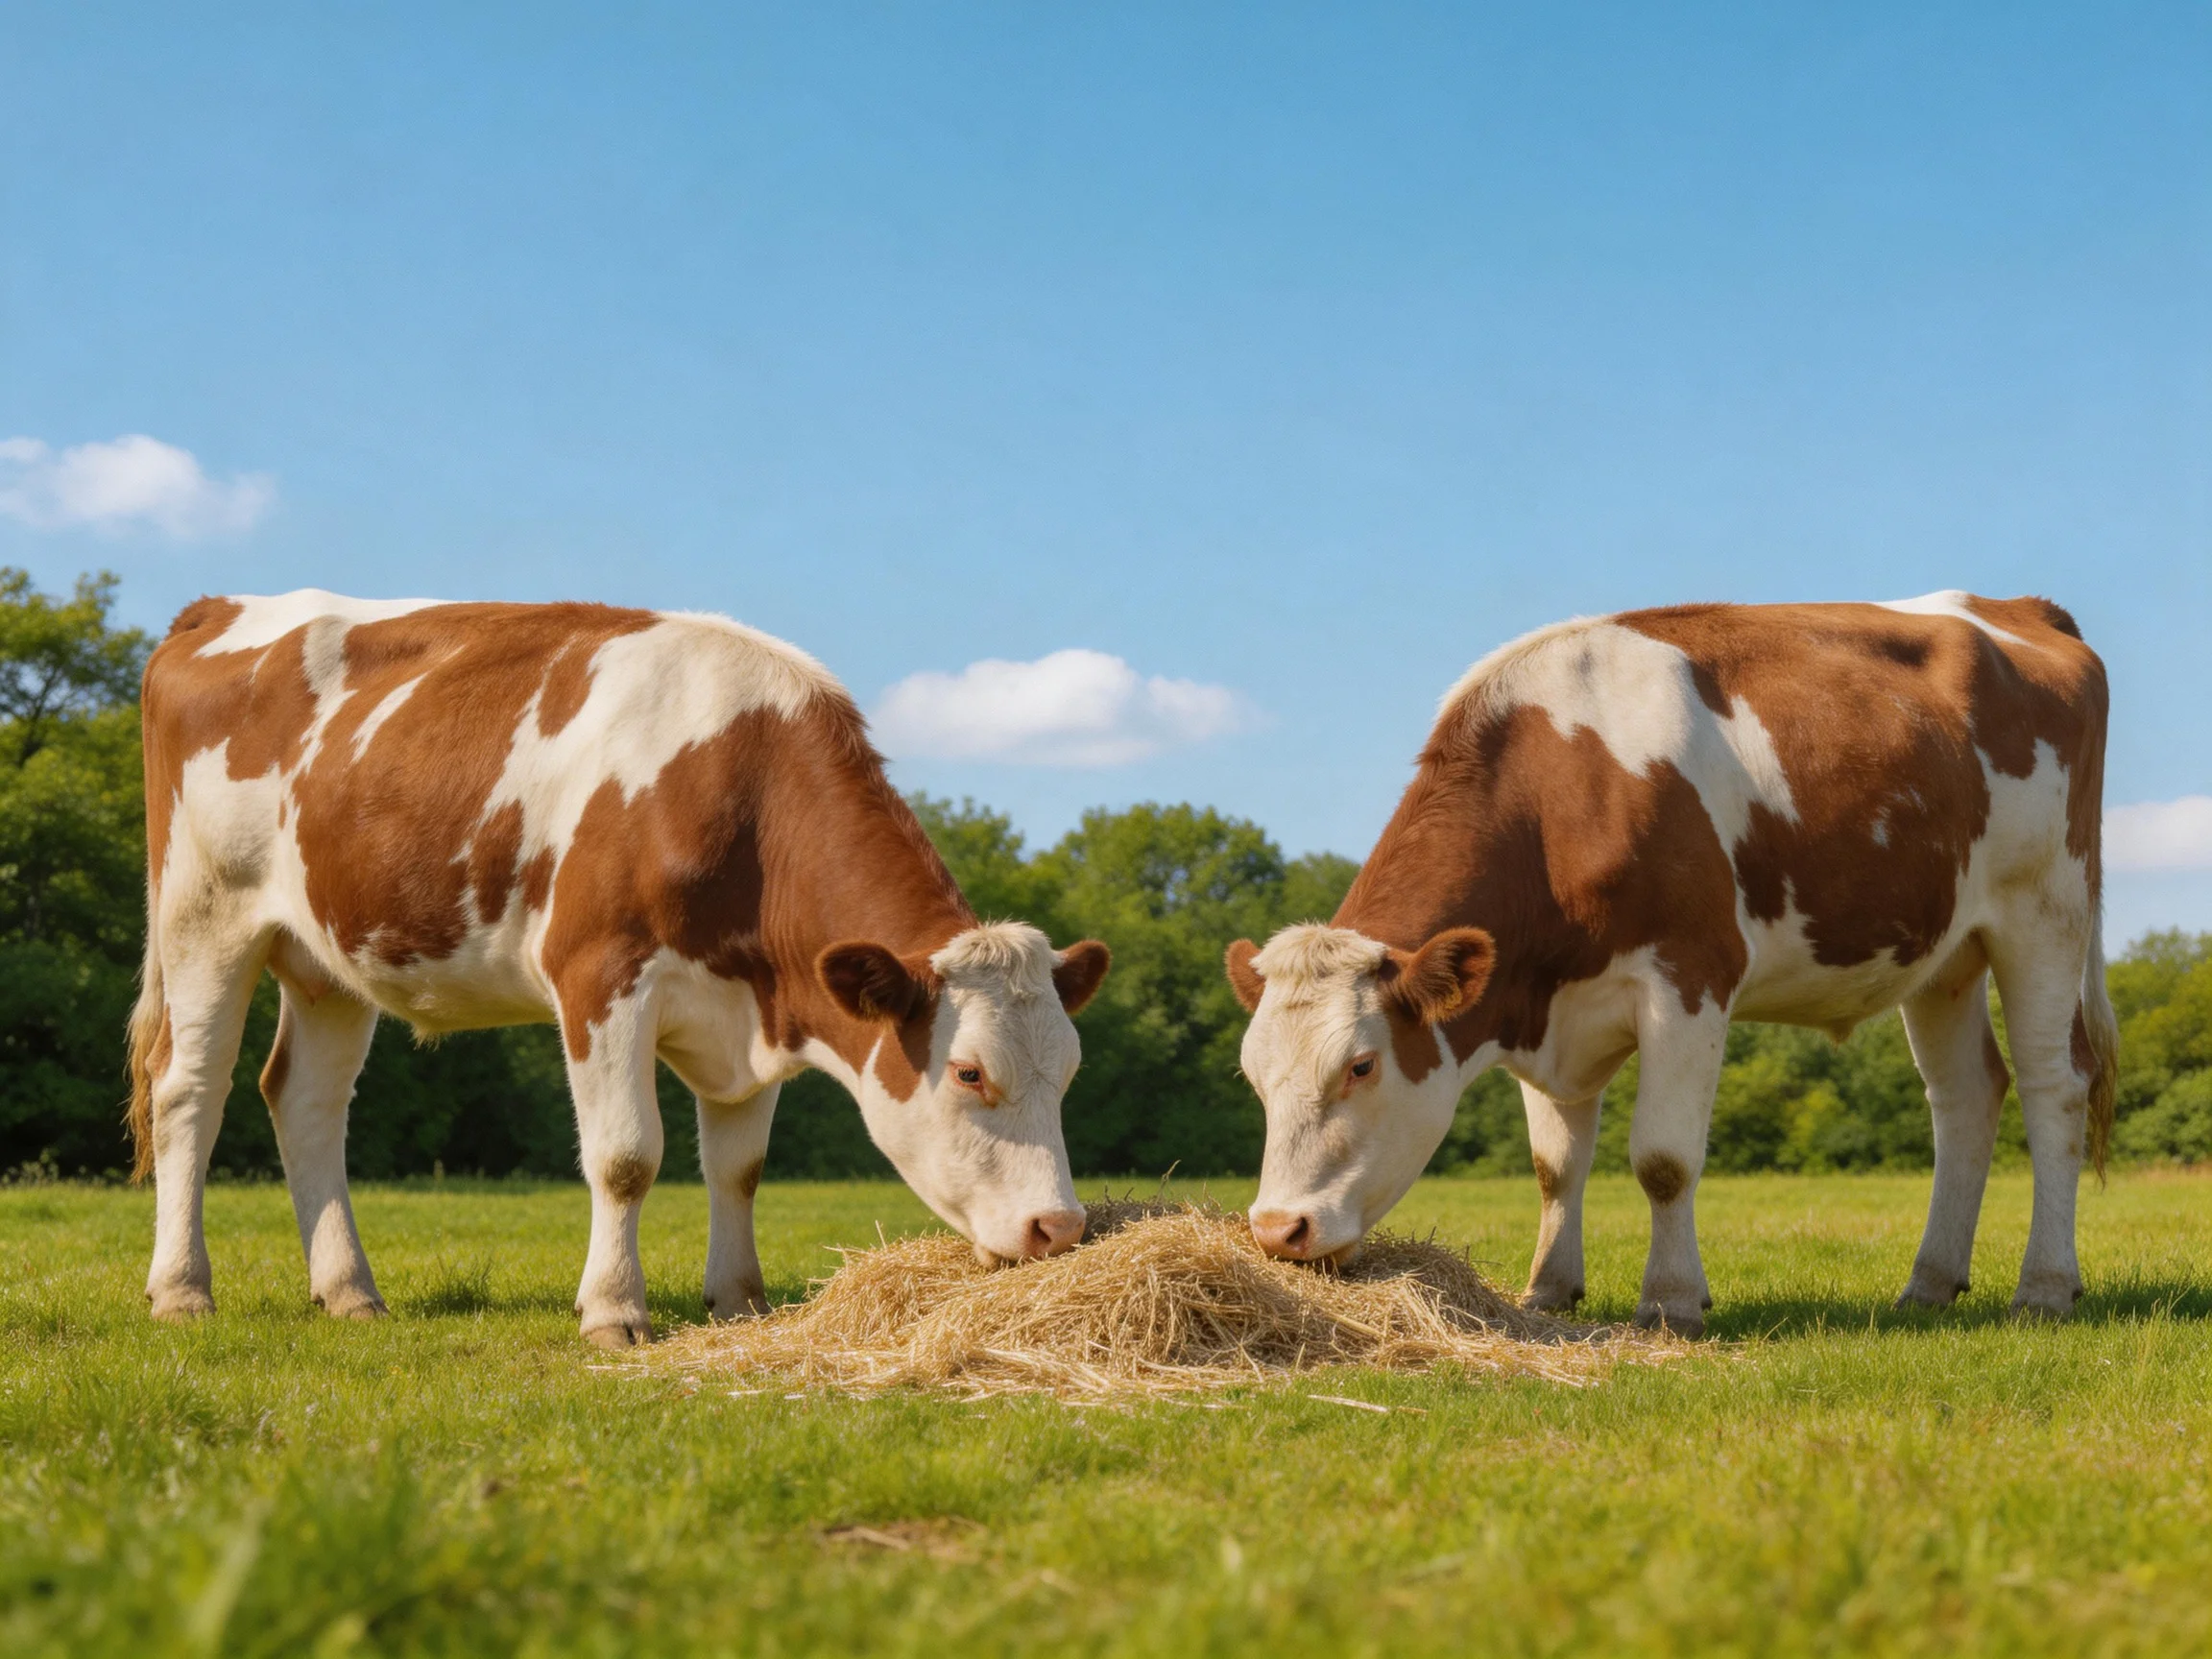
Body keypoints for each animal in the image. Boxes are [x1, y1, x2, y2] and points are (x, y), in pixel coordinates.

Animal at [128, 591, 1111, 1347]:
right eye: (970, 1072)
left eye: (1070, 1072)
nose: (1059, 1227)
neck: (739, 792)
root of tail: (215, 609)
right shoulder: (600, 976)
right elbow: (627, 1158)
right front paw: (613, 1312)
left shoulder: (749, 1010)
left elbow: (739, 1168)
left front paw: (740, 1303)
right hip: (204, 917)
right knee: (189, 1091)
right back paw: (181, 1290)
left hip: (329, 956)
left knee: (305, 1101)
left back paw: (349, 1293)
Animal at [1224, 593, 2115, 1335]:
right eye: (1254, 1078)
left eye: (1362, 1066)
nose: (1276, 1230)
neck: (1565, 794)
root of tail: (2012, 606)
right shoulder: (1538, 1003)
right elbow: (1554, 1166)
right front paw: (1547, 1291)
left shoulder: (1689, 979)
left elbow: (1662, 1159)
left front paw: (1672, 1300)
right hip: (1945, 954)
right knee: (1966, 1096)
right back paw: (1929, 1283)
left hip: (2045, 911)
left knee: (2054, 1085)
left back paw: (2044, 1286)